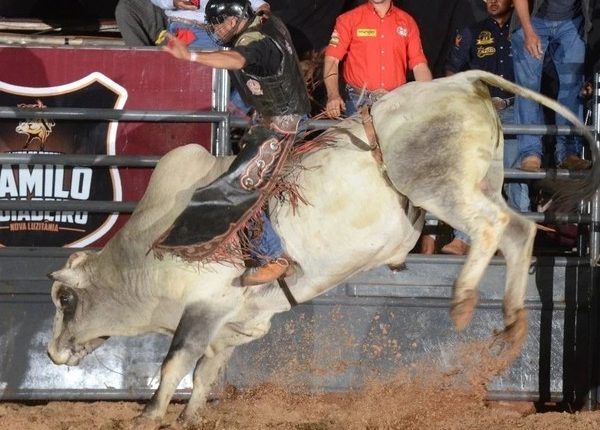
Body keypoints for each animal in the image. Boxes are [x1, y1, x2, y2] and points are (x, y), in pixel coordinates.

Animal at [45, 72, 596, 428]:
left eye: (66, 300)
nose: (52, 353)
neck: (147, 249)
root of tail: (464, 80)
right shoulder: (235, 322)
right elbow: (206, 371)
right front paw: (191, 416)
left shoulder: (203, 306)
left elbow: (175, 363)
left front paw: (149, 414)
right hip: (481, 184)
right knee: (518, 232)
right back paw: (511, 320)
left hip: (439, 186)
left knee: (491, 229)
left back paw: (463, 300)